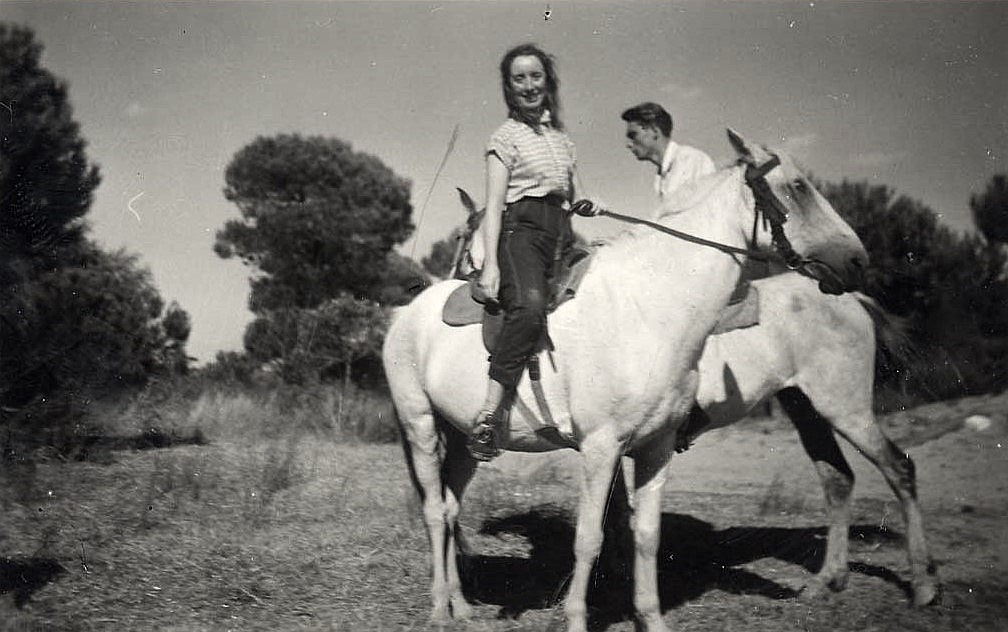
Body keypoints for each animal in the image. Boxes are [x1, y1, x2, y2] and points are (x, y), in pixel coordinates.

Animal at [382, 129, 869, 632]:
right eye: (798, 187)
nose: (858, 260)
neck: (647, 307)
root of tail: (406, 312)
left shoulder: (655, 447)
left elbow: (647, 535)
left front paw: (650, 618)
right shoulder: (601, 447)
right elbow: (589, 538)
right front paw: (577, 619)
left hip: (463, 439)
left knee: (451, 505)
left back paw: (460, 605)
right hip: (420, 424)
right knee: (435, 510)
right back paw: (439, 607)